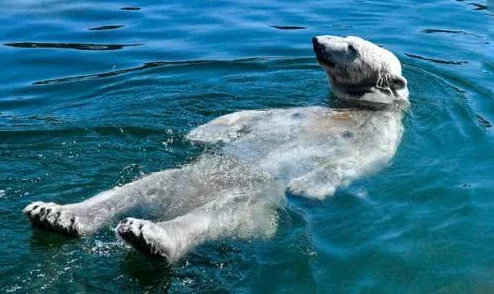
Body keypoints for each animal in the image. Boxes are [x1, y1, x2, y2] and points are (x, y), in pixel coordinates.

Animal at [23, 35, 410, 262]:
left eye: (352, 48)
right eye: (344, 38)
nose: (316, 41)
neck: (358, 108)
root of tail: (176, 204)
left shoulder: (383, 132)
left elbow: (362, 161)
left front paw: (307, 187)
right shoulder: (302, 109)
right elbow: (253, 115)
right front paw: (202, 132)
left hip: (257, 204)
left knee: (222, 211)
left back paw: (150, 236)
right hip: (181, 178)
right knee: (138, 186)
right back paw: (57, 215)